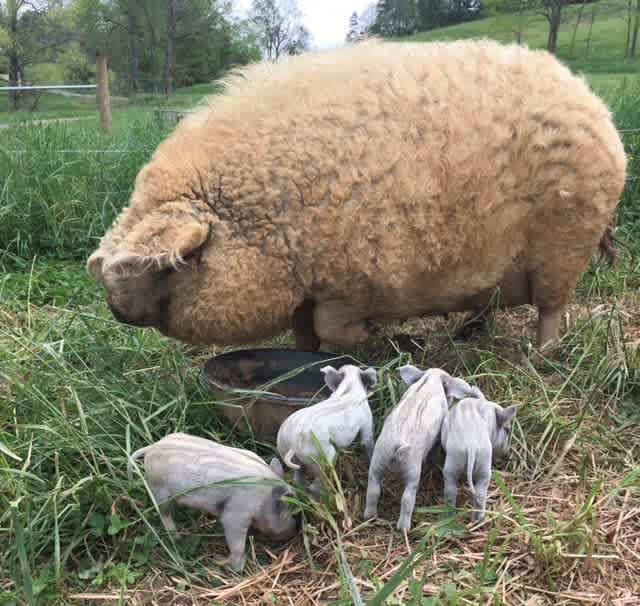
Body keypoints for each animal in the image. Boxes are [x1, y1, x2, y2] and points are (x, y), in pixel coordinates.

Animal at [130, 434, 300, 572]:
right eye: (288, 512)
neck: (264, 499)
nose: (295, 529)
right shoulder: (236, 515)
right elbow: (237, 545)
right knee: (164, 514)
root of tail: (152, 447)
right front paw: (236, 569)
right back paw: (177, 539)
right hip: (159, 490)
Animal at [278, 366, 378, 498]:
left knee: (298, 479)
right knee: (316, 485)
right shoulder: (367, 424)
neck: (350, 387)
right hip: (323, 458)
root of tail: (294, 442)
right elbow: (367, 444)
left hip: (284, 449)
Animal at [362, 366, 482, 532]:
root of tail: (397, 446)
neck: (431, 379)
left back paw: (370, 517)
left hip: (378, 459)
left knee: (373, 490)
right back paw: (404, 528)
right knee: (407, 498)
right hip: (412, 467)